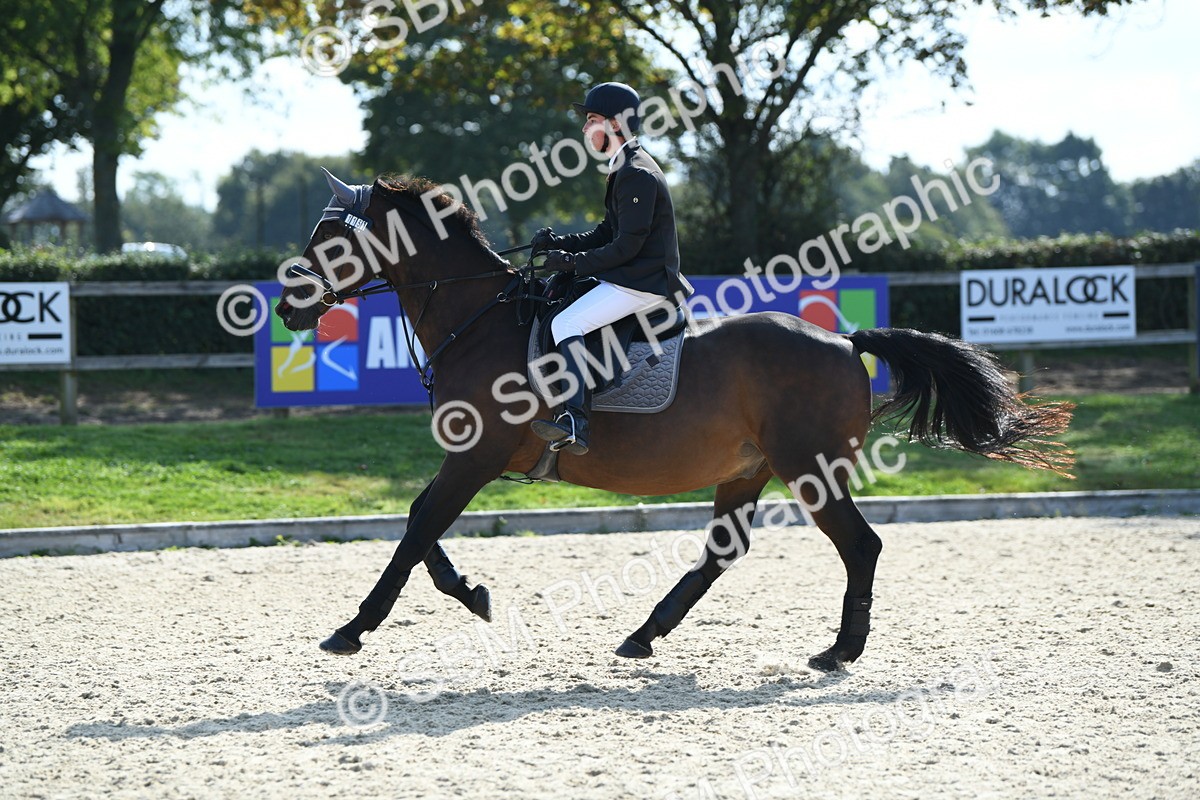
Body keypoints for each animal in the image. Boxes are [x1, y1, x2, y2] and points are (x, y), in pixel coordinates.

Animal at [274, 168, 1073, 672]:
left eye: (330, 240)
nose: (285, 307)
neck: (478, 320)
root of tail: (844, 340)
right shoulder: (473, 459)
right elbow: (423, 529)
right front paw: (472, 594)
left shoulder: (475, 457)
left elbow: (415, 529)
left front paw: (351, 629)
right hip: (749, 470)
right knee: (724, 552)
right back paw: (643, 636)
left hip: (808, 469)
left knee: (860, 546)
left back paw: (837, 652)